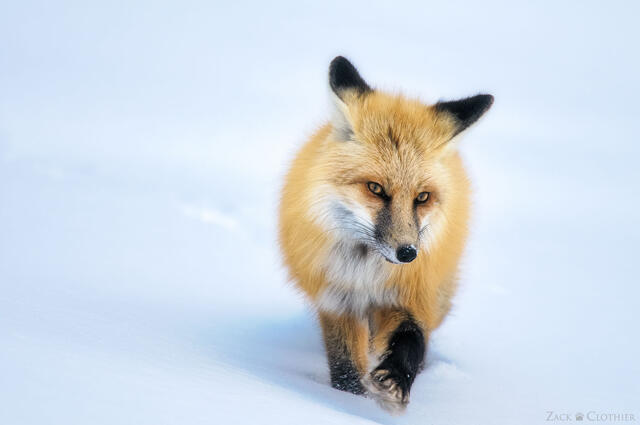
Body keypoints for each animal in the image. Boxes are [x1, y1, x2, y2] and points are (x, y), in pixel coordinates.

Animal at [278, 56, 493, 413]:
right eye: (376, 189)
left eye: (422, 197)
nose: (407, 253)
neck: (366, 273)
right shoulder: (337, 300)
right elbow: (345, 367)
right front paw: (349, 402)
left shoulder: (410, 295)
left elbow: (410, 339)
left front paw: (395, 381)